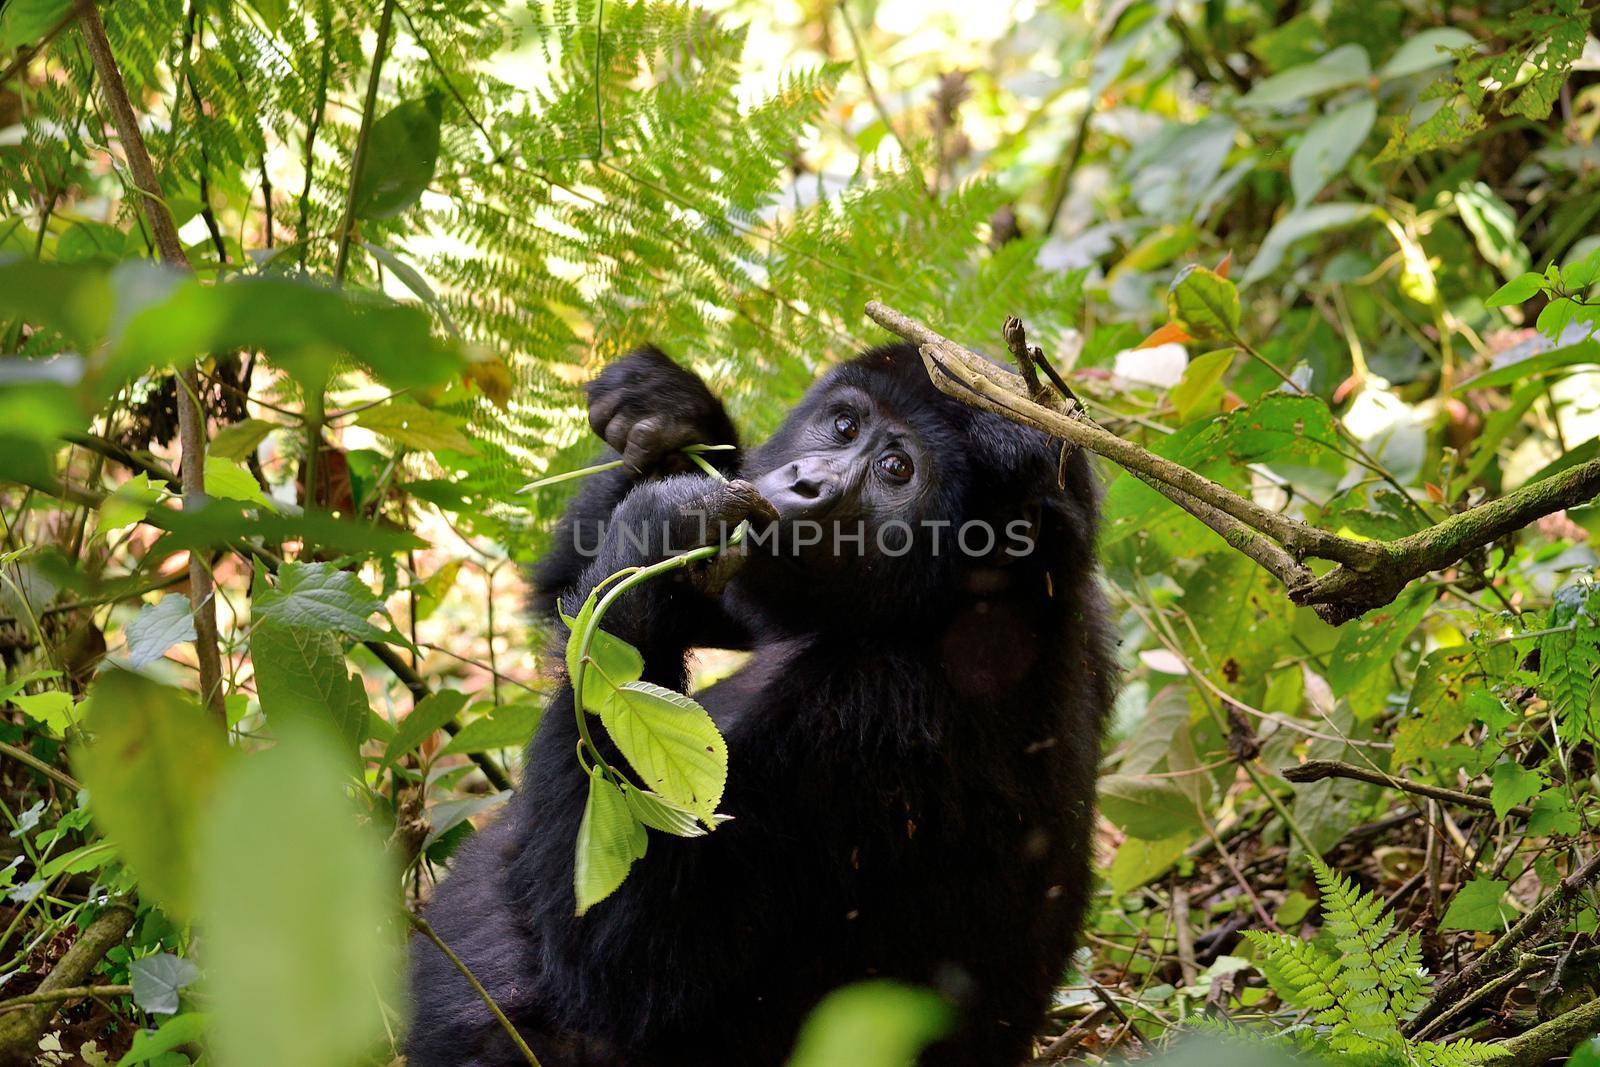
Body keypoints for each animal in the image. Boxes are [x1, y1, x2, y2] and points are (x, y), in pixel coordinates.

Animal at [406, 343, 1120, 1067]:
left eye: (897, 469)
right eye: (844, 426)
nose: (806, 483)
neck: (975, 604)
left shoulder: (875, 715)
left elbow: (629, 970)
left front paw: (658, 535)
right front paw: (675, 418)